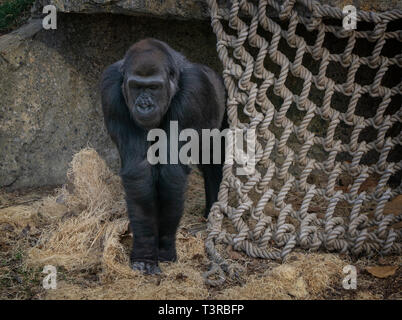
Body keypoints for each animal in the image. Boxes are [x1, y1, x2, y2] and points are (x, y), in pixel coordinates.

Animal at [100, 38, 226, 274]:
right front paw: (146, 251)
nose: (144, 105)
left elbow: (171, 172)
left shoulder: (195, 91)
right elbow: (138, 172)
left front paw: (165, 248)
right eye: (137, 87)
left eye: (154, 87)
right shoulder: (111, 90)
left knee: (213, 159)